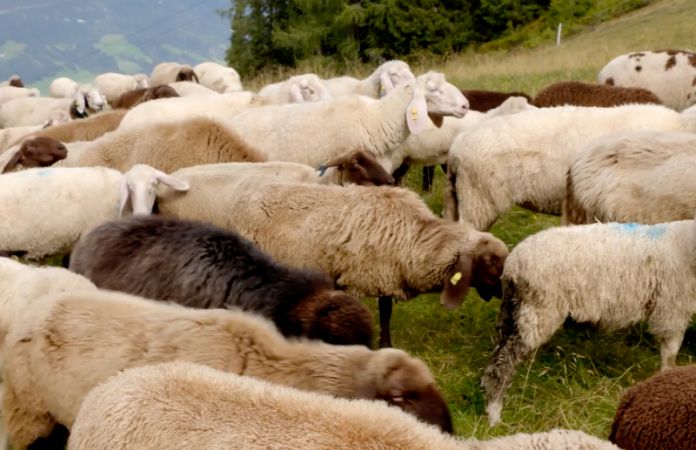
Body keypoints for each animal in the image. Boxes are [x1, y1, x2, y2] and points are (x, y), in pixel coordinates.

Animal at [157, 176, 508, 348]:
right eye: (491, 263)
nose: (506, 292)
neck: (414, 237)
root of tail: (242, 198)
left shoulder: (381, 274)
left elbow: (385, 312)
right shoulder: (362, 274)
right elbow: (379, 312)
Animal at [481, 218, 696, 426]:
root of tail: (513, 264)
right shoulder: (672, 308)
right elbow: (670, 354)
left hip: (512, 312)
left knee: (497, 354)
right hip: (537, 311)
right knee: (505, 363)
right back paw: (494, 414)